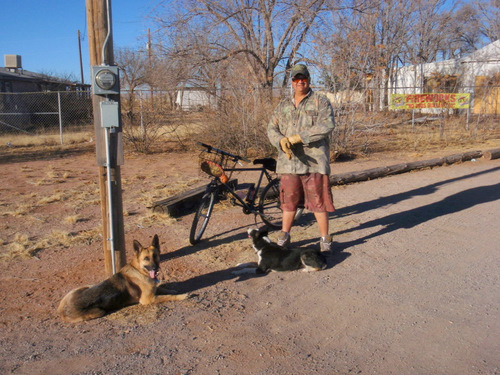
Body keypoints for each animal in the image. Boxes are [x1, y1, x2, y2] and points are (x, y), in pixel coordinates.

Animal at [58, 235, 188, 324]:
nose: (155, 268)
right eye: (146, 258)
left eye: (155, 256)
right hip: (99, 311)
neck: (139, 271)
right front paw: (182, 296)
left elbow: (163, 289)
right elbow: (167, 297)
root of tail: (62, 310)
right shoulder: (148, 299)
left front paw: (172, 290)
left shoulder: (153, 290)